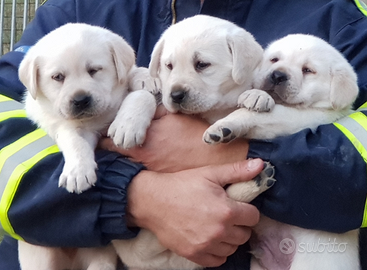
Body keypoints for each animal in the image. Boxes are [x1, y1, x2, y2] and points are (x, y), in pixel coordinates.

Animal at [110, 14, 278, 270]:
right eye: (168, 66)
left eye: (202, 64)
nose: (176, 95)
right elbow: (144, 94)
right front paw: (128, 124)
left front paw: (258, 95)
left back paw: (256, 181)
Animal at [204, 33, 362, 270]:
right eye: (274, 60)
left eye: (308, 70)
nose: (277, 75)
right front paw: (257, 94)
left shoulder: (298, 119)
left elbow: (253, 115)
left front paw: (223, 126)